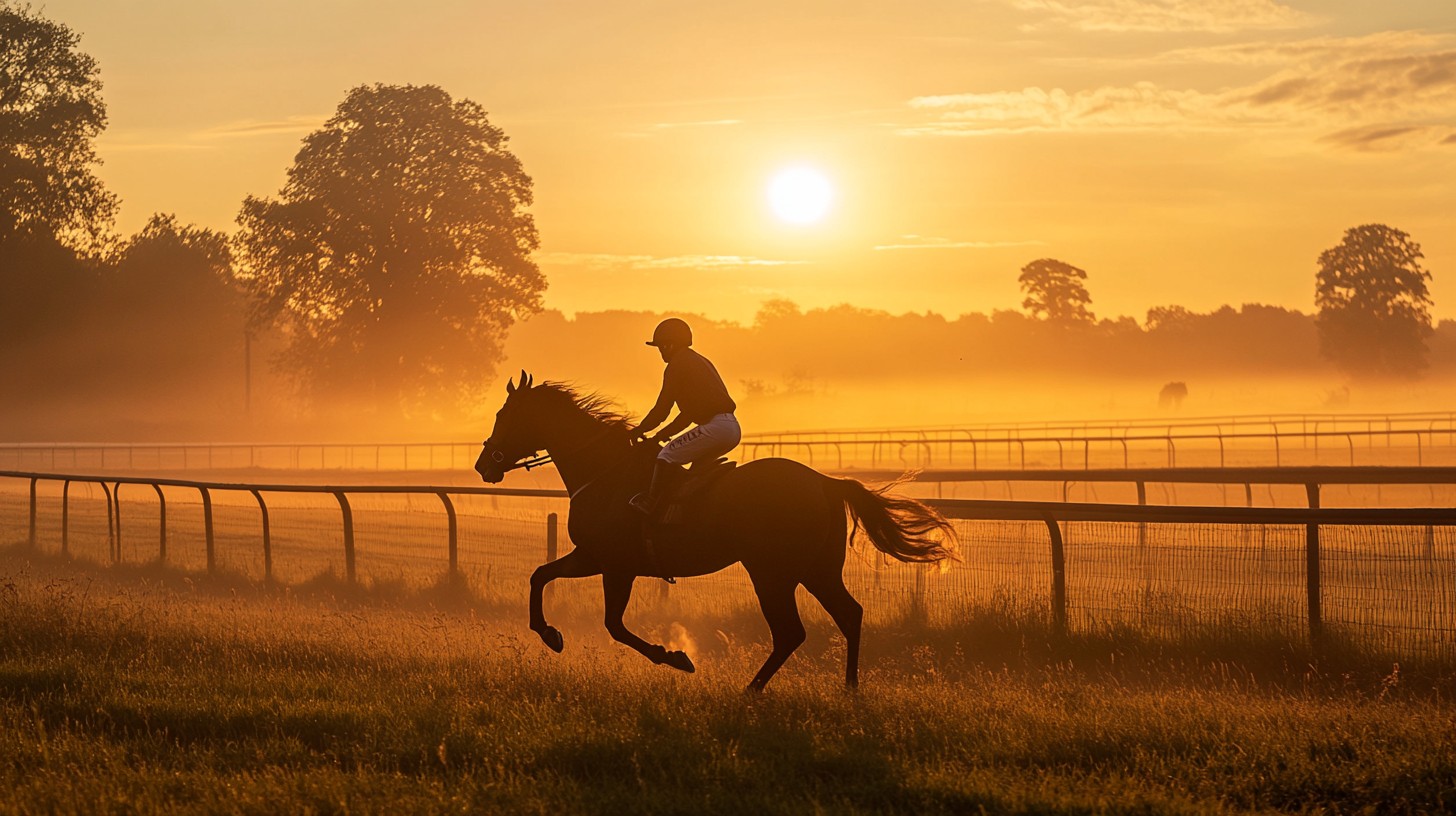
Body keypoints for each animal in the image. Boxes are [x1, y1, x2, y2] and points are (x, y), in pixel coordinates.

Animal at [474, 371, 956, 691]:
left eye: (503, 414)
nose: (484, 464)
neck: (605, 472)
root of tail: (824, 481)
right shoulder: (592, 556)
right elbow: (540, 575)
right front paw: (550, 635)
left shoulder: (614, 564)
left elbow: (613, 624)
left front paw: (675, 657)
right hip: (815, 569)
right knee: (848, 615)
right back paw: (849, 689)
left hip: (772, 572)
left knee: (792, 631)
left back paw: (751, 691)